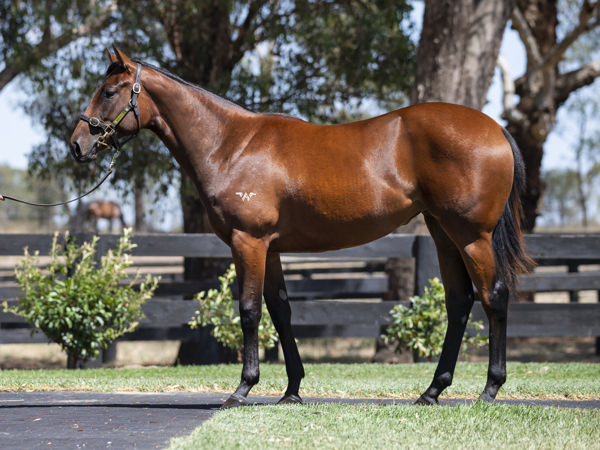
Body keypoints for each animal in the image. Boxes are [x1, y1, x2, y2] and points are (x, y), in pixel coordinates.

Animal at [69, 48, 536, 408]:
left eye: (108, 92)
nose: (77, 144)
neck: (231, 145)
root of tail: (495, 127)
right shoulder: (271, 248)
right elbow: (281, 312)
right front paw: (292, 390)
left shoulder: (248, 243)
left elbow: (250, 311)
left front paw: (242, 389)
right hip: (443, 233)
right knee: (459, 302)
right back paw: (432, 392)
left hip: (472, 236)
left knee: (494, 297)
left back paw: (489, 390)